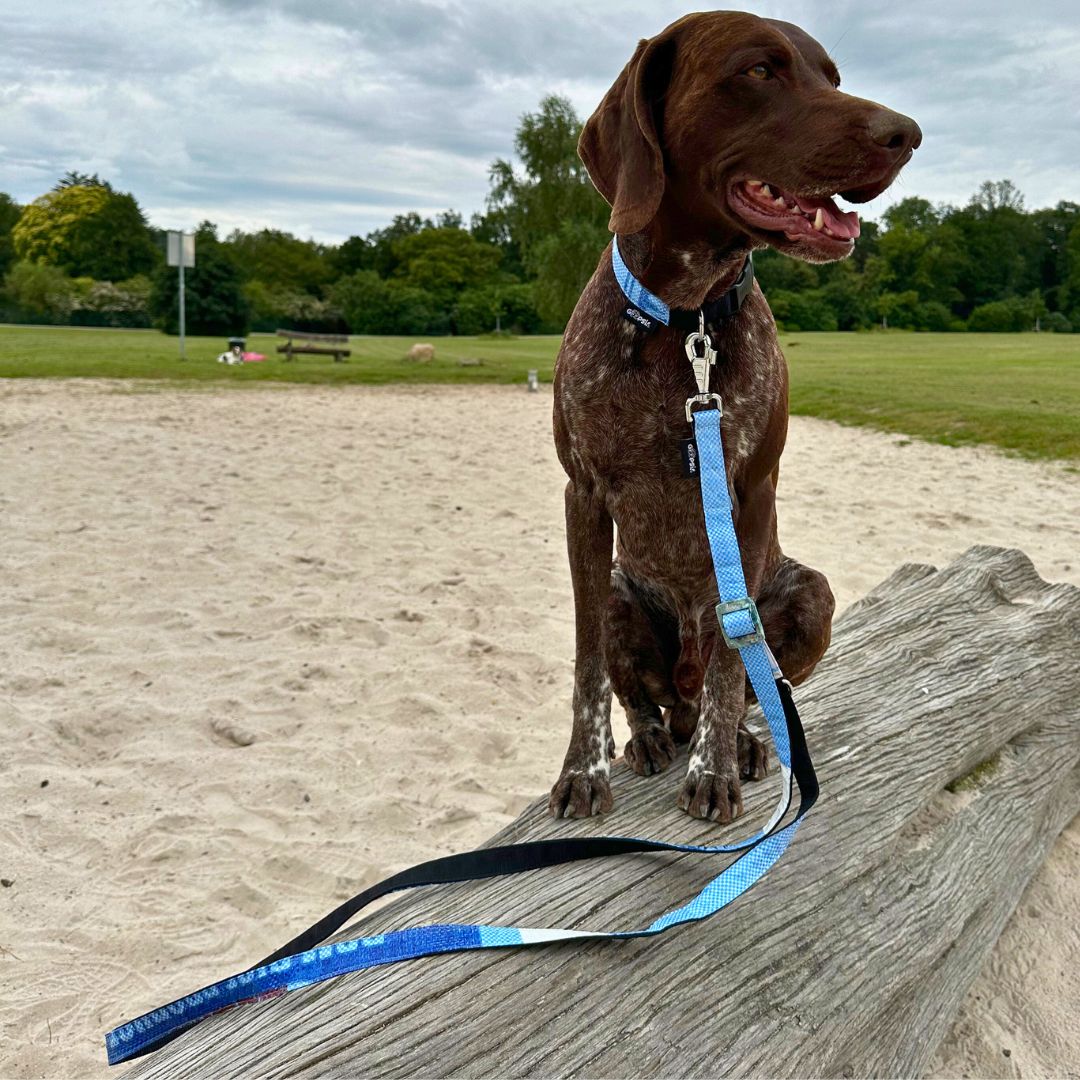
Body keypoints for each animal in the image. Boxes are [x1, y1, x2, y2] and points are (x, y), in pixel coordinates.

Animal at [548, 12, 920, 816]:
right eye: (758, 71)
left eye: (831, 77)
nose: (906, 133)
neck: (685, 317)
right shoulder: (582, 498)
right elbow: (587, 663)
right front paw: (583, 771)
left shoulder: (750, 493)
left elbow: (730, 659)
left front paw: (714, 768)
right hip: (625, 592)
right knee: (645, 697)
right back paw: (651, 737)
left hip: (809, 591)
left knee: (750, 685)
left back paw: (744, 742)